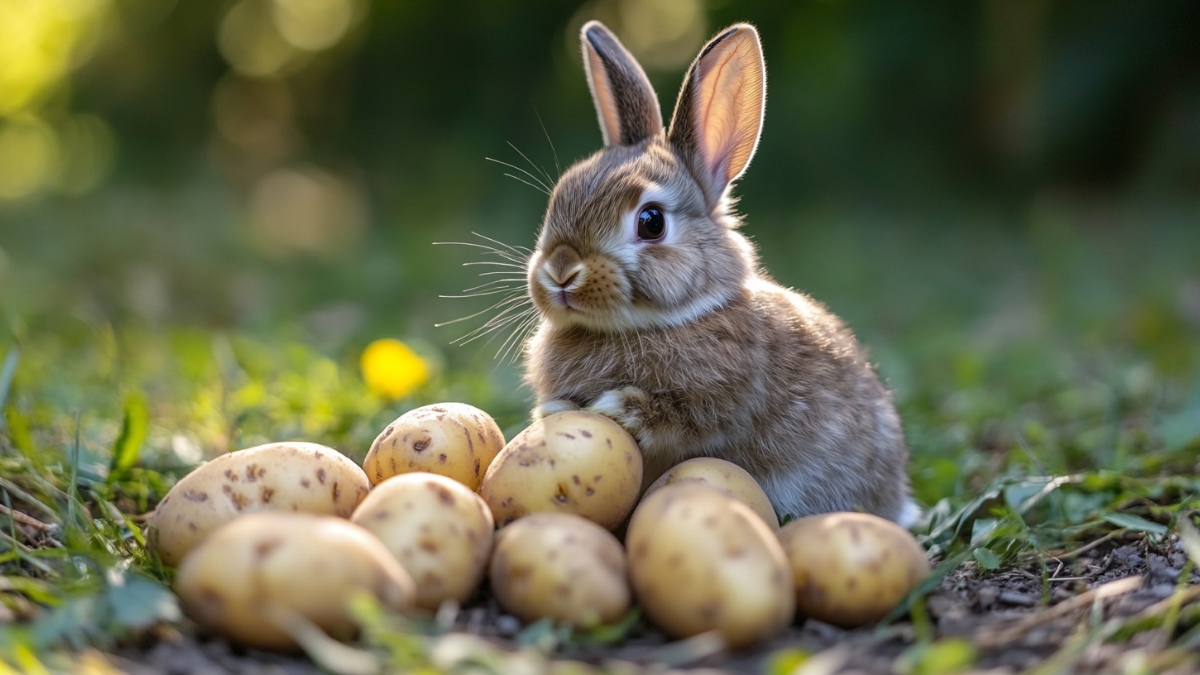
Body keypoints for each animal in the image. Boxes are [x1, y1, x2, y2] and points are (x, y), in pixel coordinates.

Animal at [518, 21, 916, 523]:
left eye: (651, 222)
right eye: (557, 199)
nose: (561, 271)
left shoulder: (718, 404)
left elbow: (685, 420)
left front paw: (618, 409)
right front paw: (555, 410)